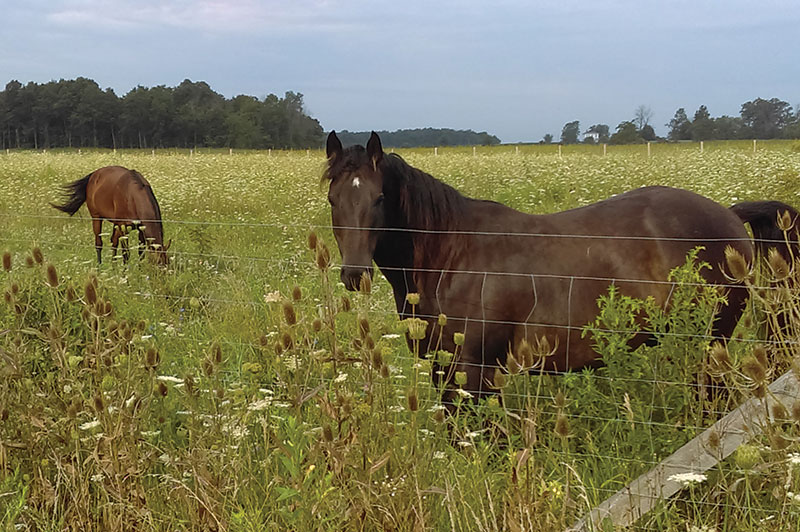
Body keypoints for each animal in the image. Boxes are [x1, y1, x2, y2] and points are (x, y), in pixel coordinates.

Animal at [323, 131, 799, 402]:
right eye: (333, 198)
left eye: (379, 199)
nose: (354, 274)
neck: (450, 258)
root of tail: (729, 214)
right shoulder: (444, 369)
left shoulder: (476, 370)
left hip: (710, 345)